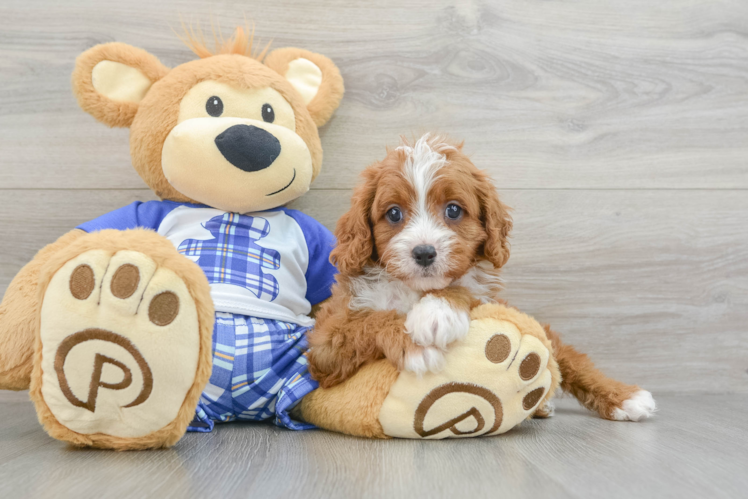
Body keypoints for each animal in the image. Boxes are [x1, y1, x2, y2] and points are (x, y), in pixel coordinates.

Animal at [306, 134, 656, 422]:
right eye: (393, 213)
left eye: (453, 210)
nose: (424, 252)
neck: (416, 291)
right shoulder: (324, 346)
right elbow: (368, 320)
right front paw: (416, 345)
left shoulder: (485, 297)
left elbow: (462, 286)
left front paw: (438, 312)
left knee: (568, 356)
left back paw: (625, 398)